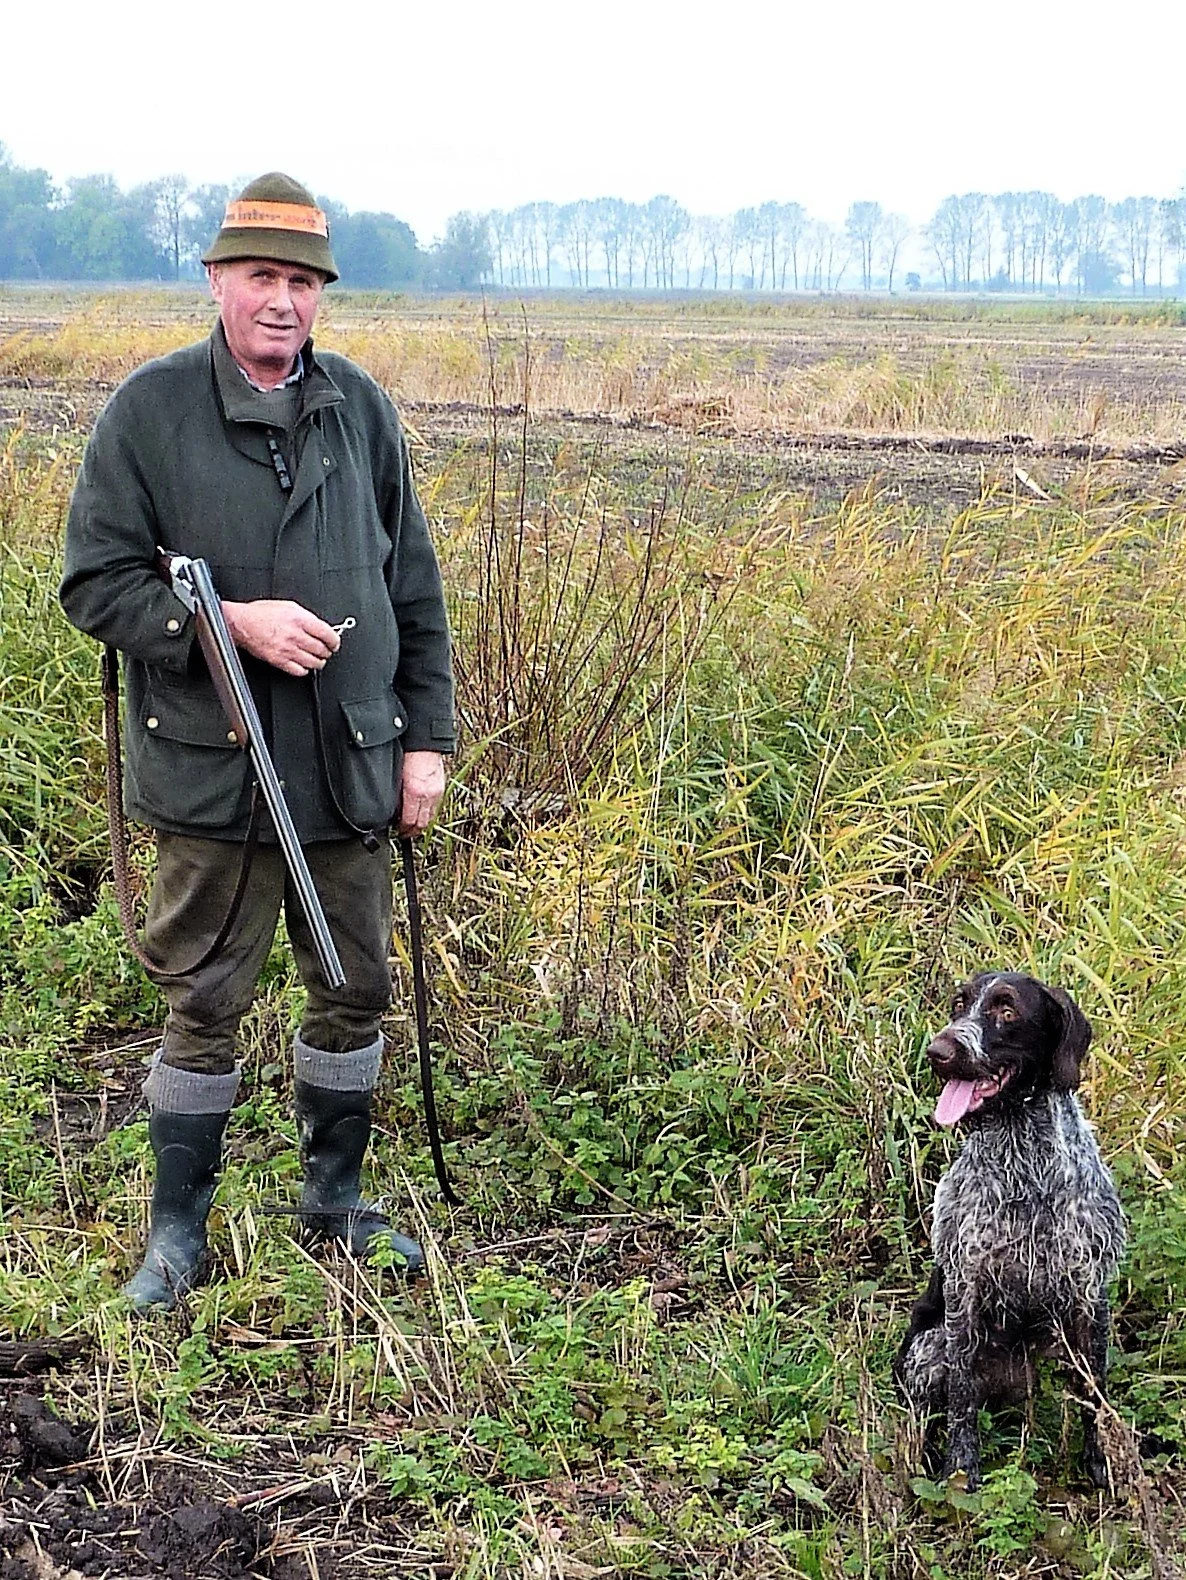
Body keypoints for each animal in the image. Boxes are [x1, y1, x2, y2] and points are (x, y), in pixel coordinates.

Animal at [896, 973, 1125, 1489]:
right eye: (959, 1004)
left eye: (1007, 1011)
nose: (938, 1051)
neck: (1027, 1163)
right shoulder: (964, 1288)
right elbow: (961, 1398)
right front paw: (961, 1471)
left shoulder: (1090, 1293)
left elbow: (1095, 1393)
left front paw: (1100, 1461)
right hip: (926, 1351)